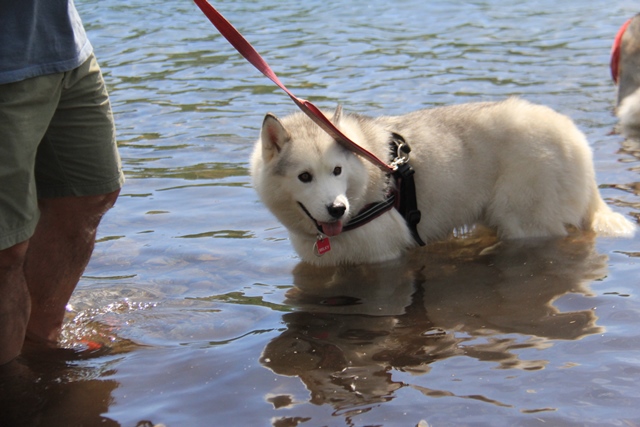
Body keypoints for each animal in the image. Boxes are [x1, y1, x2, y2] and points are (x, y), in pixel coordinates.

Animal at [250, 98, 636, 266]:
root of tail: (573, 134)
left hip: (525, 220)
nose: (336, 208)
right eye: (304, 177)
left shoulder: (382, 259)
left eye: (336, 171)